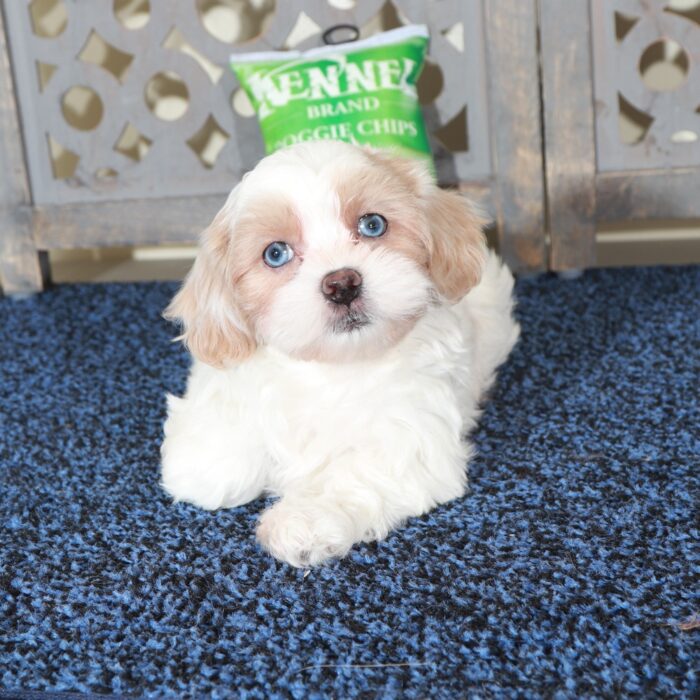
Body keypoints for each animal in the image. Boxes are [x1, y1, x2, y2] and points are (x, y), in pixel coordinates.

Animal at [160, 142, 520, 568]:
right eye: (276, 253)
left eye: (373, 225)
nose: (341, 284)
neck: (334, 367)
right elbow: (218, 450)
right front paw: (207, 461)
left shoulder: (409, 435)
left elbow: (353, 475)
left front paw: (301, 521)